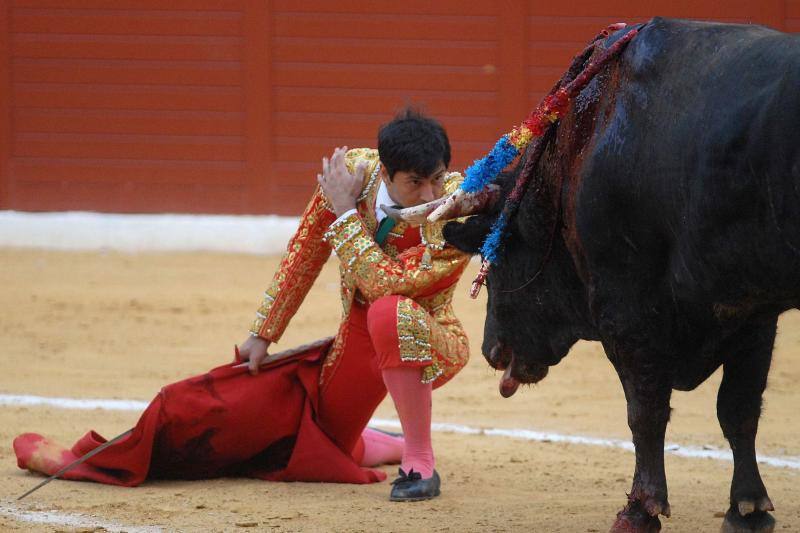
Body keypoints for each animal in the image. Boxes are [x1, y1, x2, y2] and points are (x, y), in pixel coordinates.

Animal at [444, 16, 800, 532]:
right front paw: (748, 509)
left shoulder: (627, 306)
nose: (492, 350)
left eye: (498, 260)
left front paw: (639, 509)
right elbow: (738, 407)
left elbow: (645, 409)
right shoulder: (752, 310)